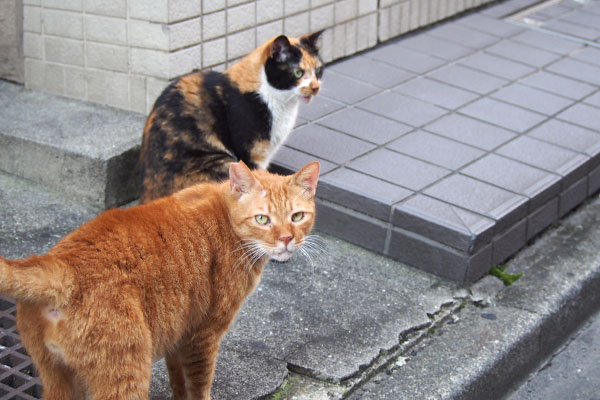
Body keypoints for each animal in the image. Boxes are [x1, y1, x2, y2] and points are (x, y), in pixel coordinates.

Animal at [0, 161, 322, 398]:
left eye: (297, 216)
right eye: (262, 219)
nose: (286, 239)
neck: (228, 220)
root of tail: (62, 263)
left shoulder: (179, 336)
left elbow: (179, 384)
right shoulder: (203, 337)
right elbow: (199, 387)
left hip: (58, 378)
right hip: (126, 373)